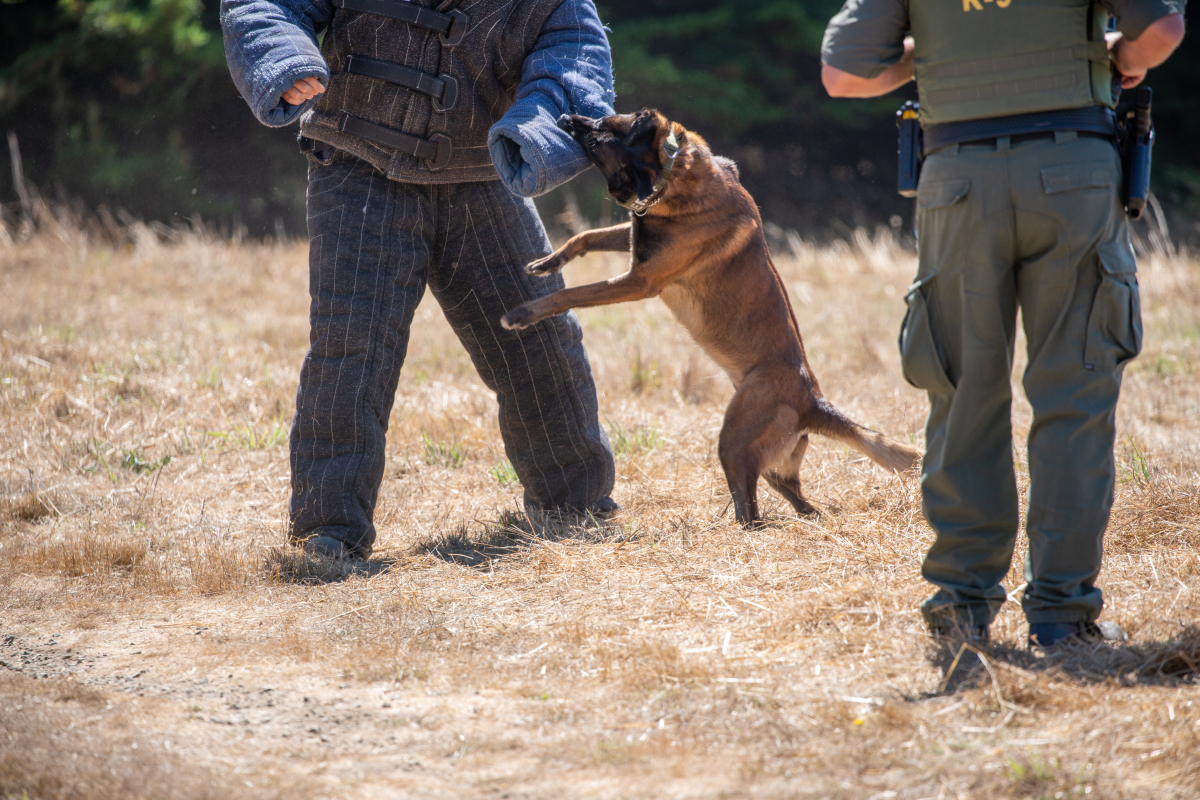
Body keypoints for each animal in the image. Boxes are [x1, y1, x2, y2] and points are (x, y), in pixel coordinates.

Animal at [499, 110, 916, 525]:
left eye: (603, 131)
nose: (566, 115)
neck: (672, 171)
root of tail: (813, 400)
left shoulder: (640, 281)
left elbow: (569, 294)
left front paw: (523, 313)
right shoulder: (636, 240)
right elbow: (584, 237)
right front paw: (547, 262)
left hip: (734, 440)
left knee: (751, 512)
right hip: (771, 455)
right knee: (790, 492)